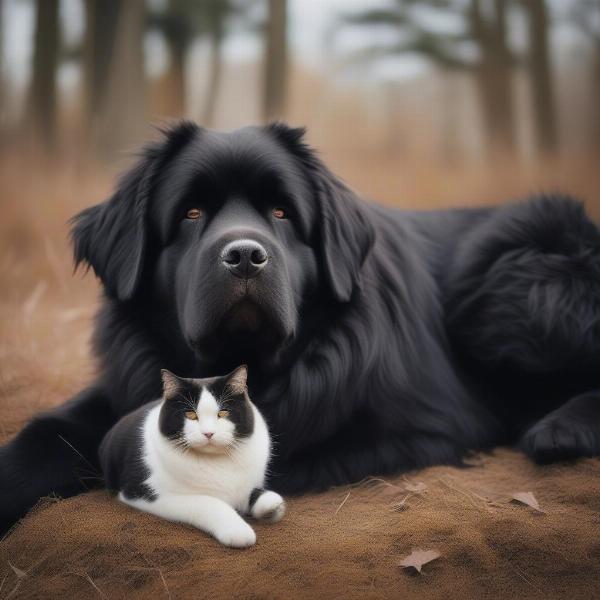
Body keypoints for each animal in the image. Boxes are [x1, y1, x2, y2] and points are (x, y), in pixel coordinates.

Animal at [1, 123, 600, 528]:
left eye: (282, 213)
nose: (245, 255)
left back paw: (560, 430)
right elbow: (49, 431)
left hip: (509, 285)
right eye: (191, 214)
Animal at [98, 366, 286, 548]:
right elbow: (209, 502)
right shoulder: (142, 491)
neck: (215, 461)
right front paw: (237, 530)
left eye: (223, 413)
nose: (208, 433)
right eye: (191, 414)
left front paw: (272, 506)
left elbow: (257, 494)